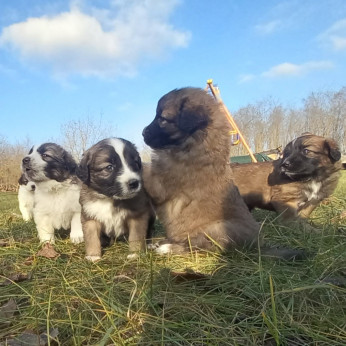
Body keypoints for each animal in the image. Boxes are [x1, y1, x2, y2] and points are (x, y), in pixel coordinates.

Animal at [141, 87, 260, 254]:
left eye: (163, 119)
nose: (143, 132)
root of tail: (258, 243)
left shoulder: (159, 183)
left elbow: (143, 169)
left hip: (217, 228)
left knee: (196, 245)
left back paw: (167, 248)